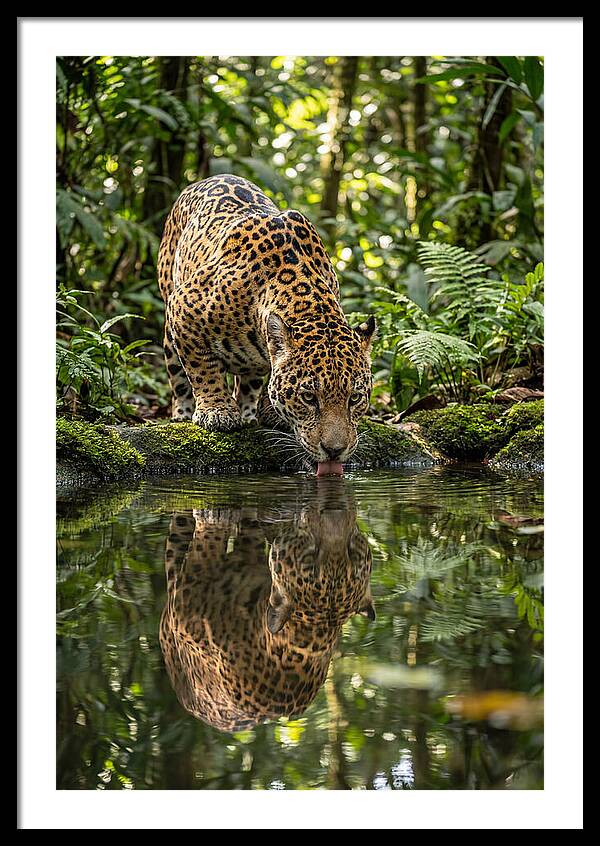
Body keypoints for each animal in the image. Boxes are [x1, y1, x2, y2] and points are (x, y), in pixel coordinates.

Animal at [157, 174, 376, 473]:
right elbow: (202, 369)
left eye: (354, 398)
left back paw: (249, 412)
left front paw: (271, 412)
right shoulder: (183, 308)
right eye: (309, 398)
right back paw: (182, 413)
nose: (334, 451)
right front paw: (217, 411)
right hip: (169, 316)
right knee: (178, 376)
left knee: (248, 380)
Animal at [158, 482, 374, 732]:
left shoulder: (186, 603)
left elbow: (208, 543)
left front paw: (215, 516)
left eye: (352, 552)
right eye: (311, 556)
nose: (335, 511)